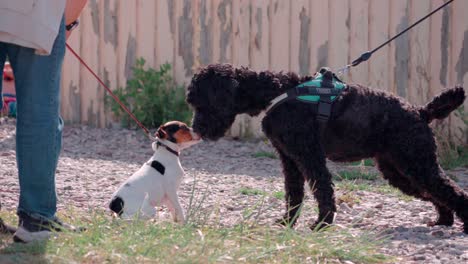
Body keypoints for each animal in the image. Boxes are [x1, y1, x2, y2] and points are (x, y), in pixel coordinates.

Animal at [186, 63, 468, 233]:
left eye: (202, 102)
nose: (195, 129)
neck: (275, 91)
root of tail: (421, 112)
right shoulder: (290, 159)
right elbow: (294, 193)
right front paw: (287, 222)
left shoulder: (309, 155)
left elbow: (322, 190)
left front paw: (321, 224)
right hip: (401, 170)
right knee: (438, 193)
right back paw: (443, 221)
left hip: (416, 163)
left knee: (451, 191)